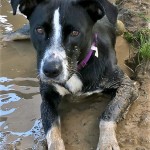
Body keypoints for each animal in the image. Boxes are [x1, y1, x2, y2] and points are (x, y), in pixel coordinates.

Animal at [9, 0, 138, 149]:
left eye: (75, 33)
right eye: (39, 30)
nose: (50, 71)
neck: (76, 70)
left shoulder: (127, 85)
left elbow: (108, 113)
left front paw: (107, 143)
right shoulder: (47, 98)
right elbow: (52, 128)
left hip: (119, 25)